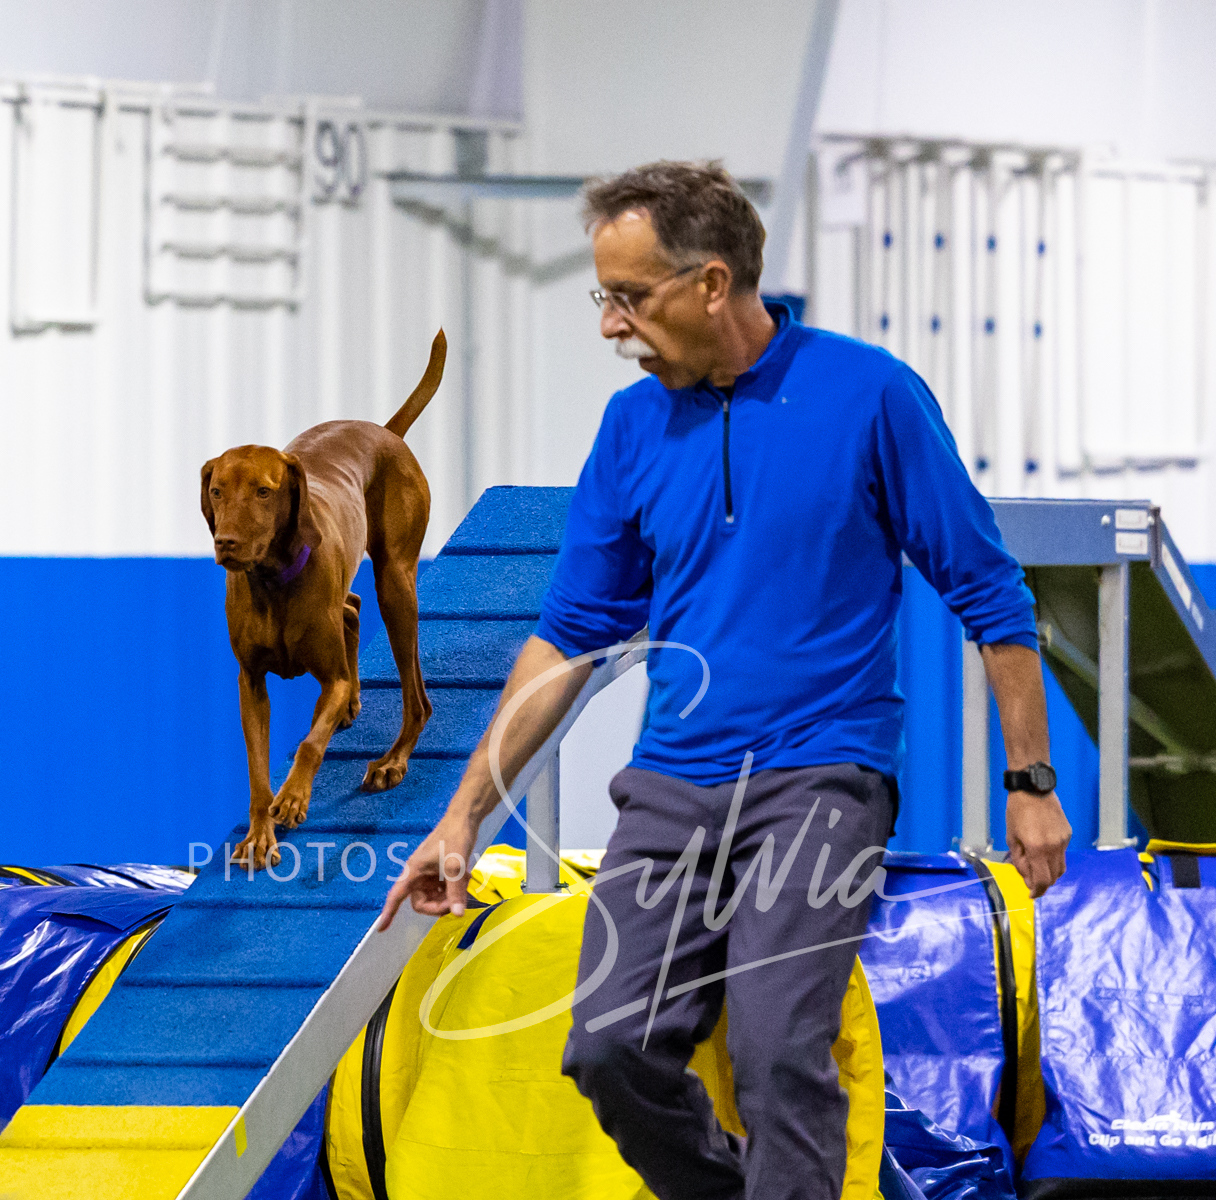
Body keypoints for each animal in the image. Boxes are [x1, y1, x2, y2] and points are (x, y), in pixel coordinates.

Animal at [201, 331, 446, 870]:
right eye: (217, 490)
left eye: (264, 492)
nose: (226, 543)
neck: (273, 582)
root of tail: (384, 432)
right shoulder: (250, 683)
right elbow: (257, 770)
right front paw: (259, 835)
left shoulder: (330, 678)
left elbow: (311, 744)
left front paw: (293, 797)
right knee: (350, 607)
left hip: (396, 584)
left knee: (416, 697)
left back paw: (392, 761)